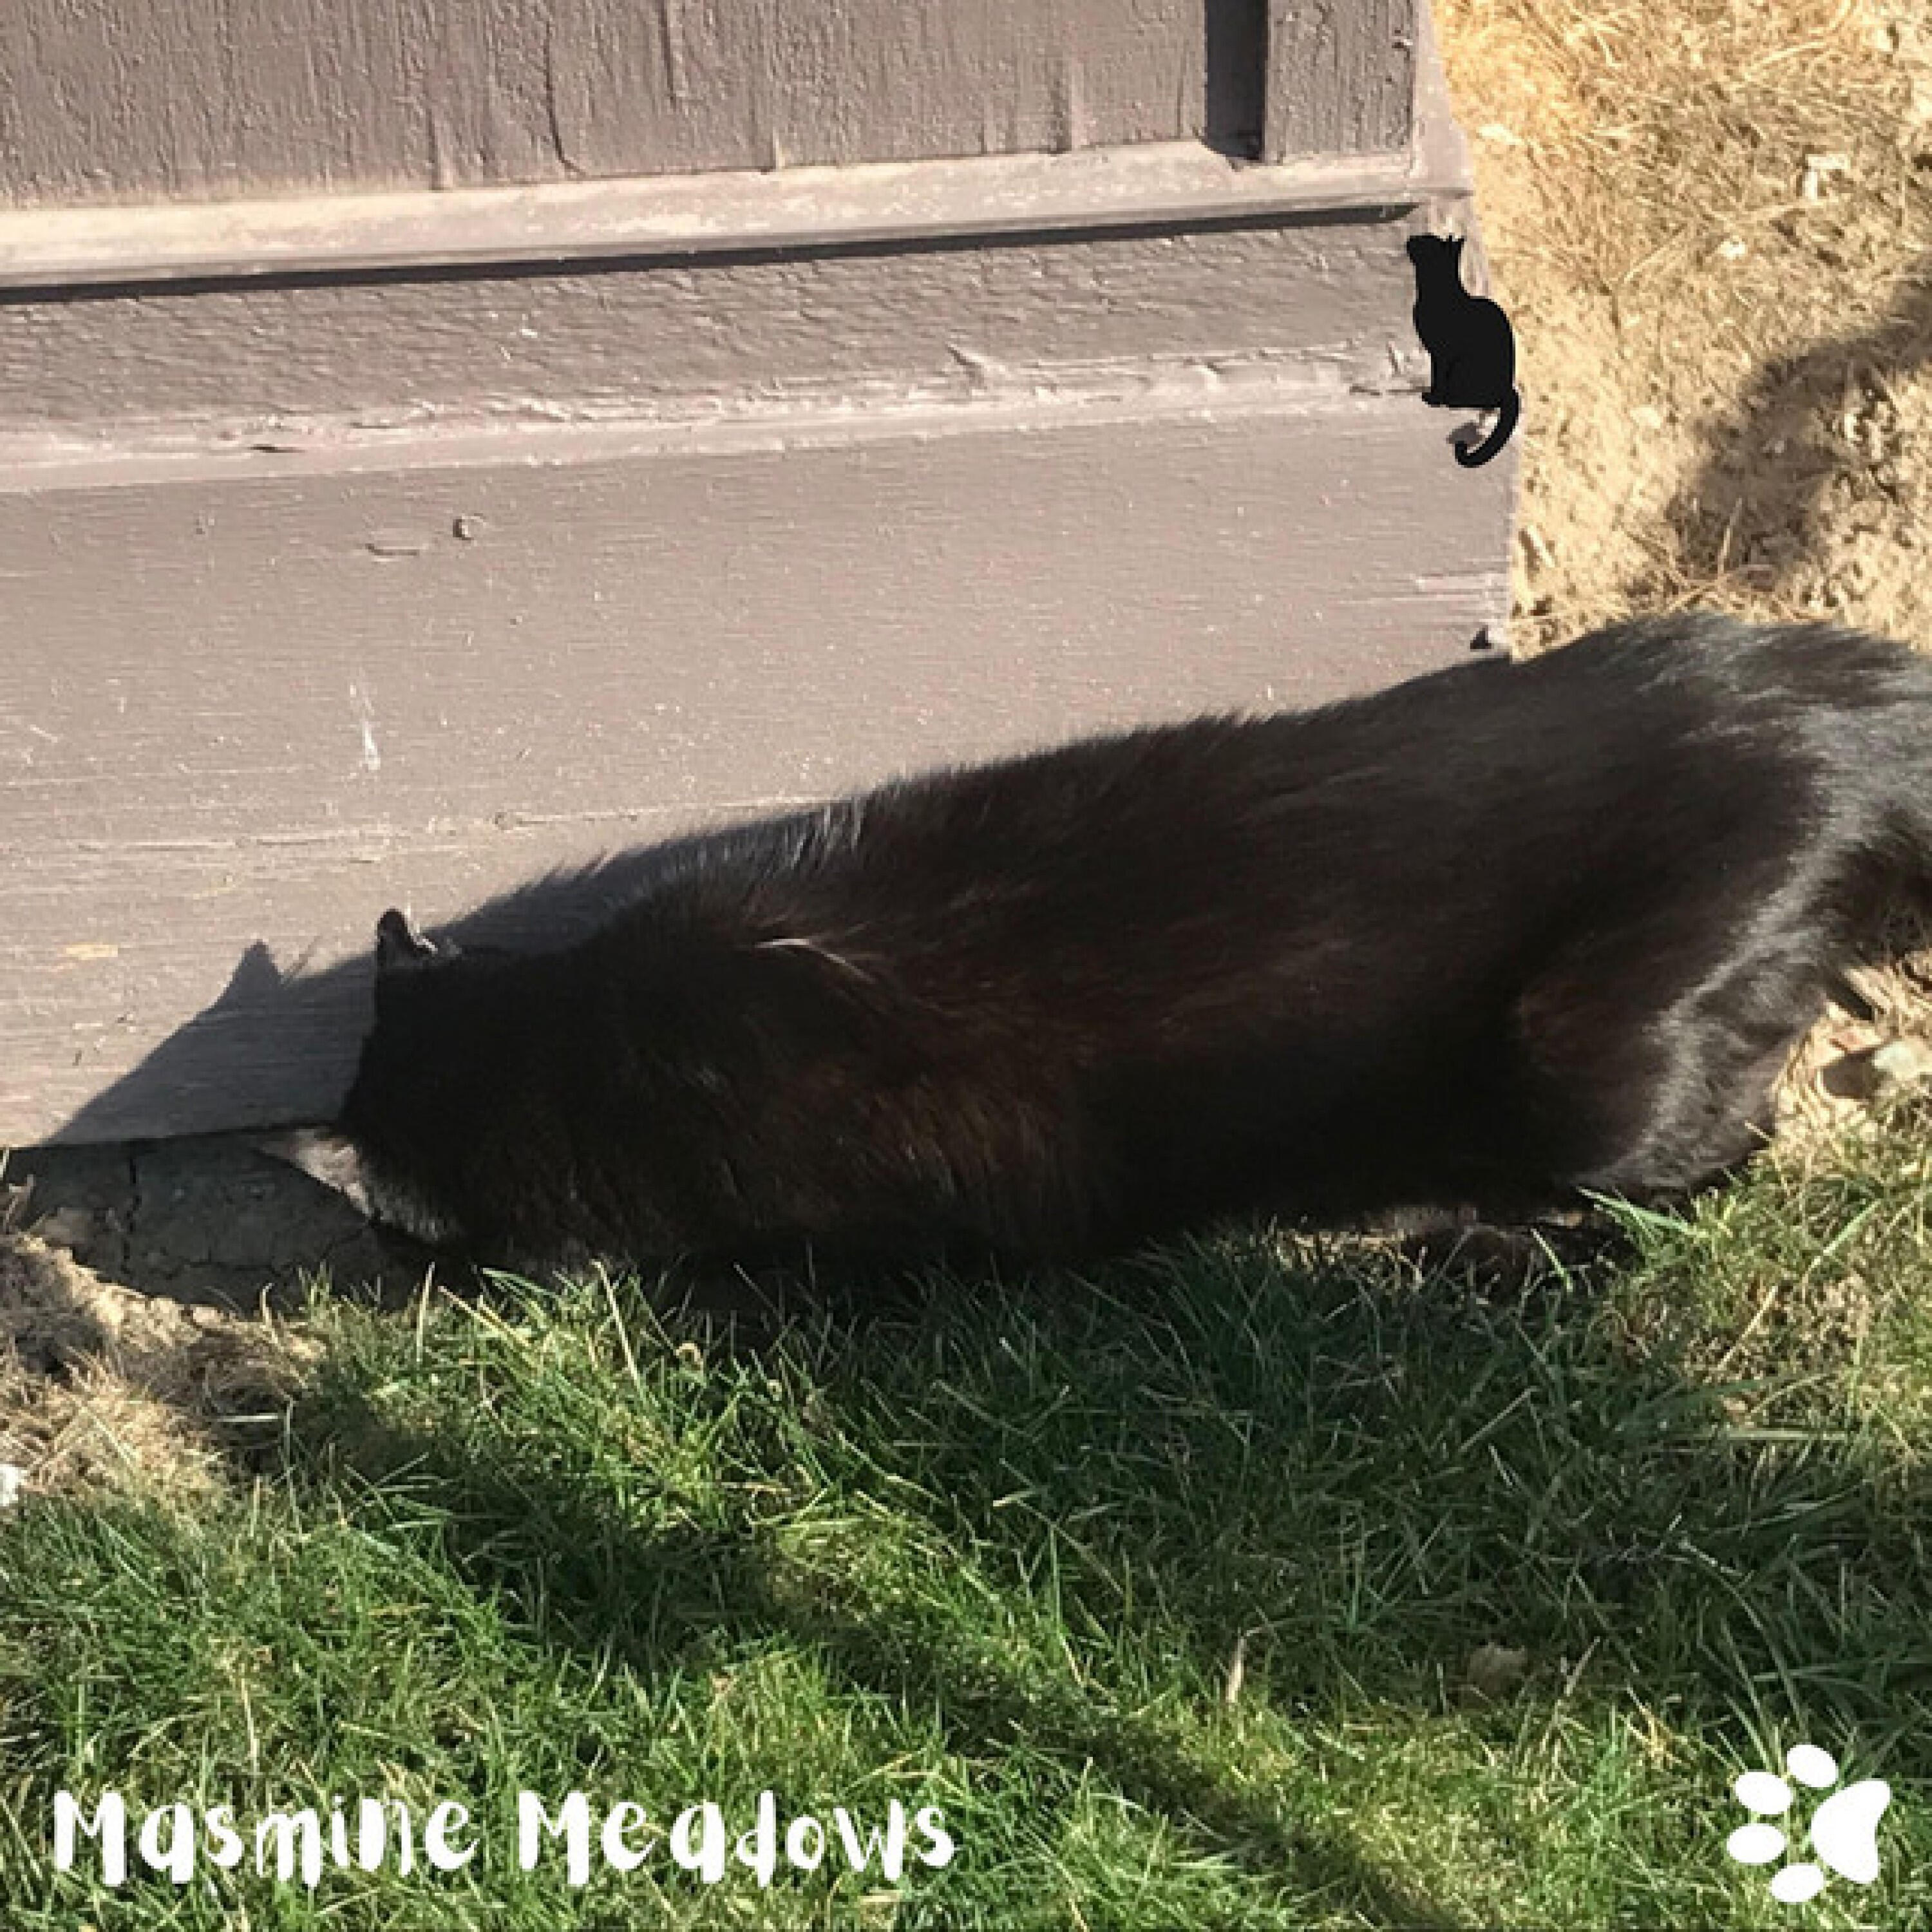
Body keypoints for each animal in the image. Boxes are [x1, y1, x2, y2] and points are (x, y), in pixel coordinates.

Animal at [1407, 232, 1521, 469]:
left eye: (1424, 241)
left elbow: (1437, 378)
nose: (1410, 238)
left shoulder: (1441, 355)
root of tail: (1508, 389)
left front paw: (1432, 397)